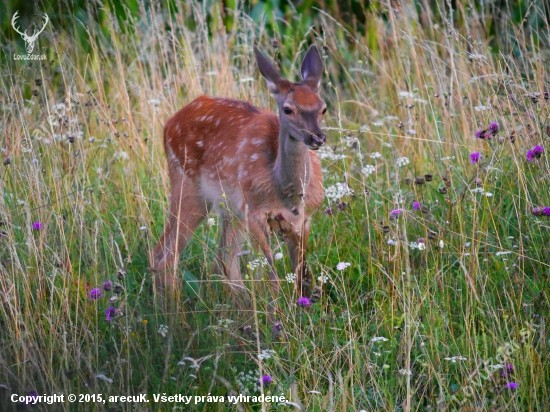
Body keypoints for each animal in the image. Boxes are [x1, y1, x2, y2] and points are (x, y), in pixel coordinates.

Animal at [150, 45, 328, 322]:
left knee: (222, 260)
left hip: (230, 211)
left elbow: (302, 275)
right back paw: (173, 316)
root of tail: (168, 123)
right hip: (188, 188)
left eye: (323, 107)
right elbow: (272, 278)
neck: (285, 192)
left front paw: (302, 312)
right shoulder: (254, 213)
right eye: (288, 109)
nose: (317, 138)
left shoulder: (304, 219)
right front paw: (277, 318)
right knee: (164, 255)